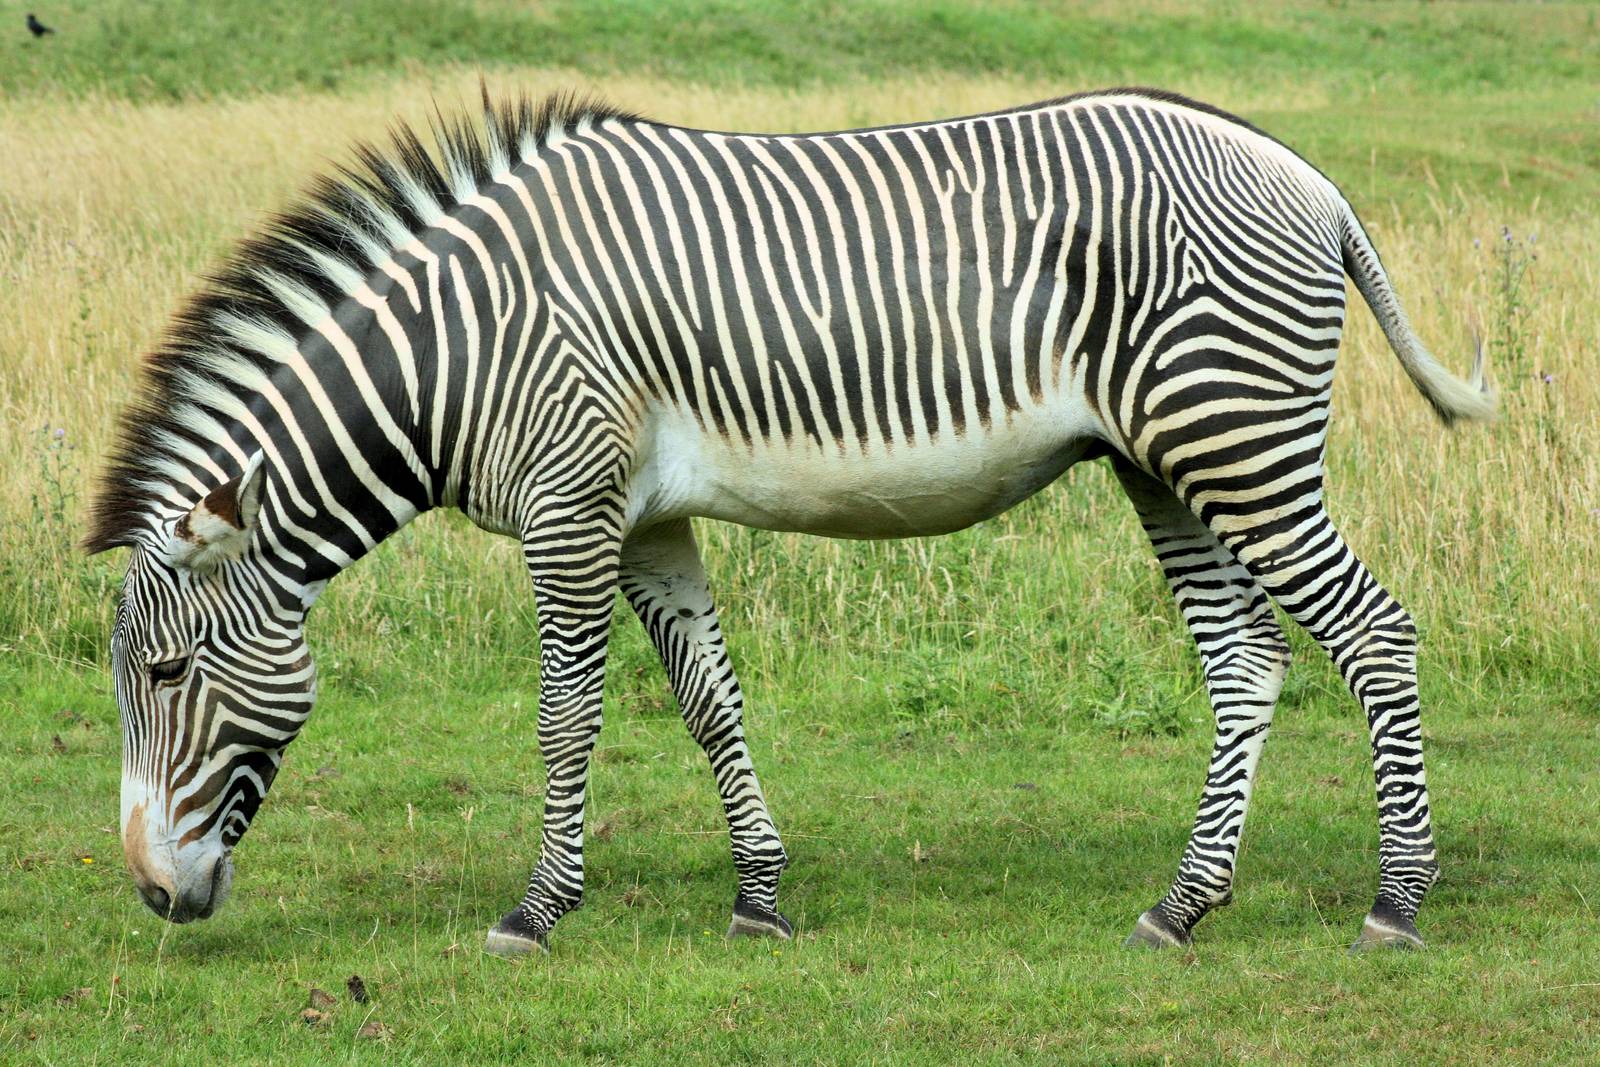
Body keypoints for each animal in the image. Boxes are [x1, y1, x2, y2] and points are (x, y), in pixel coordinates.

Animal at [86, 87, 1492, 956]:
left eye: (165, 672)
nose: (151, 893)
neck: (461, 350)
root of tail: (1309, 177)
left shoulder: (568, 502)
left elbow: (565, 714)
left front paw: (537, 911)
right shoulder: (644, 517)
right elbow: (710, 700)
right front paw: (759, 894)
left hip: (1234, 442)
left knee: (1374, 636)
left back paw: (1397, 899)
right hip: (1169, 461)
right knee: (1248, 661)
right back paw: (1184, 903)